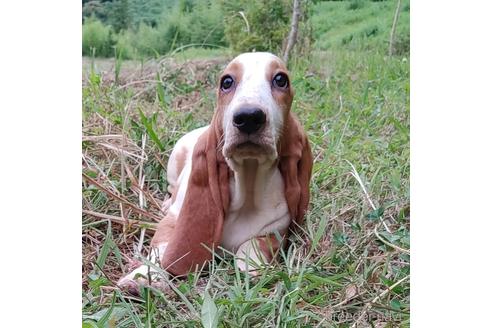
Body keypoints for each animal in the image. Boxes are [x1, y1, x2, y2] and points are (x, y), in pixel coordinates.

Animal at [117, 52, 314, 294]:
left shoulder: (277, 232)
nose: (249, 117)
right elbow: (161, 250)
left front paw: (249, 267)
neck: (248, 180)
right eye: (227, 82)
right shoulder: (172, 221)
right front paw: (143, 276)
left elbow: (255, 244)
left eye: (280, 80)